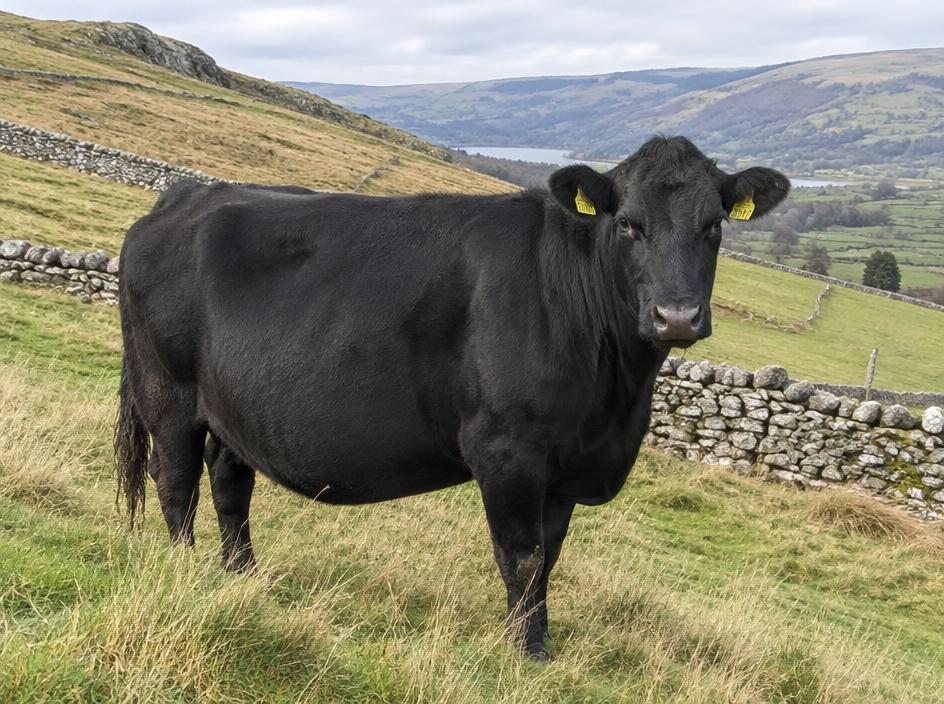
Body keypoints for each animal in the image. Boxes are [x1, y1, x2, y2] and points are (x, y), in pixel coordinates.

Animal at [115, 136, 789, 660]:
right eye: (627, 223)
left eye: (714, 226)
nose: (676, 316)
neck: (615, 400)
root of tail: (182, 196)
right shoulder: (507, 449)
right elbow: (521, 555)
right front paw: (527, 654)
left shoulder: (565, 467)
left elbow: (549, 557)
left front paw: (536, 640)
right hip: (168, 393)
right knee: (175, 481)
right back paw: (186, 572)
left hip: (235, 405)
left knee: (231, 482)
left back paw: (243, 578)